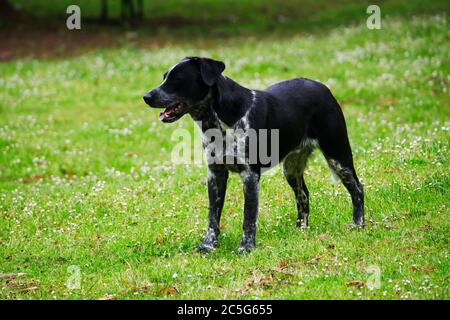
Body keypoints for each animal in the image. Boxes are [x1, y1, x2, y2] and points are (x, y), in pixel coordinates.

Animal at [142, 57, 364, 252]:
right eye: (164, 77)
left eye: (178, 79)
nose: (146, 96)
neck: (218, 122)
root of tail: (323, 88)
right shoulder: (215, 173)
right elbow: (213, 216)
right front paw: (209, 245)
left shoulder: (249, 175)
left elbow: (248, 217)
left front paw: (246, 247)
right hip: (291, 168)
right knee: (303, 195)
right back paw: (301, 229)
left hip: (337, 154)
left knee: (358, 189)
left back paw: (358, 224)